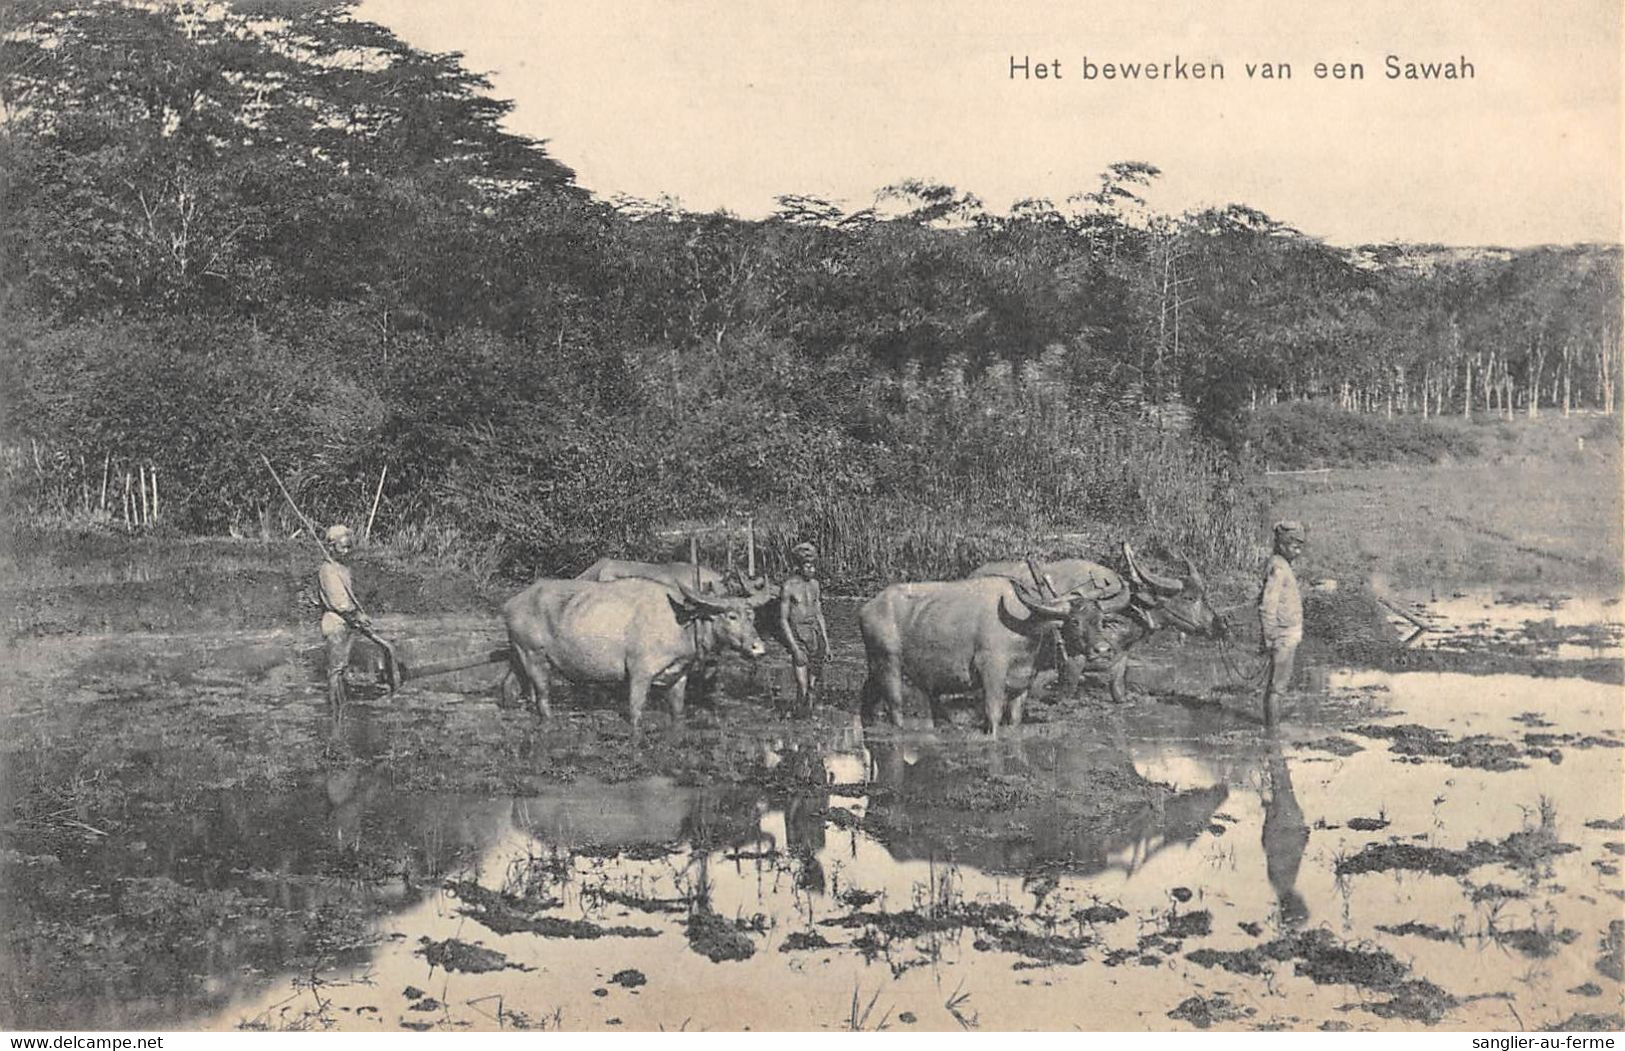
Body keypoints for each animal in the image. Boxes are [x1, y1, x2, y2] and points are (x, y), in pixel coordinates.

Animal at [500, 575, 773, 730]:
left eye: (752, 616)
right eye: (731, 616)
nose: (758, 647)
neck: (681, 622)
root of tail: (512, 603)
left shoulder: (679, 674)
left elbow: (677, 710)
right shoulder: (640, 673)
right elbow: (636, 711)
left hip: (519, 655)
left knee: (511, 685)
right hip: (534, 655)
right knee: (543, 695)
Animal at [858, 571, 1111, 737]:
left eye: (1101, 620)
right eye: (1075, 621)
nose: (1103, 649)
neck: (1024, 627)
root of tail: (868, 608)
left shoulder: (1022, 683)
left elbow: (1015, 717)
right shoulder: (991, 673)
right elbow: (993, 713)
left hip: (875, 665)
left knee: (868, 693)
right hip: (889, 663)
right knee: (895, 706)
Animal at [968, 542, 1222, 708]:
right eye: (1190, 597)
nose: (1219, 625)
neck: (1125, 610)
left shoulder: (1120, 656)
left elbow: (1118, 689)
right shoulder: (1073, 658)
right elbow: (1064, 689)